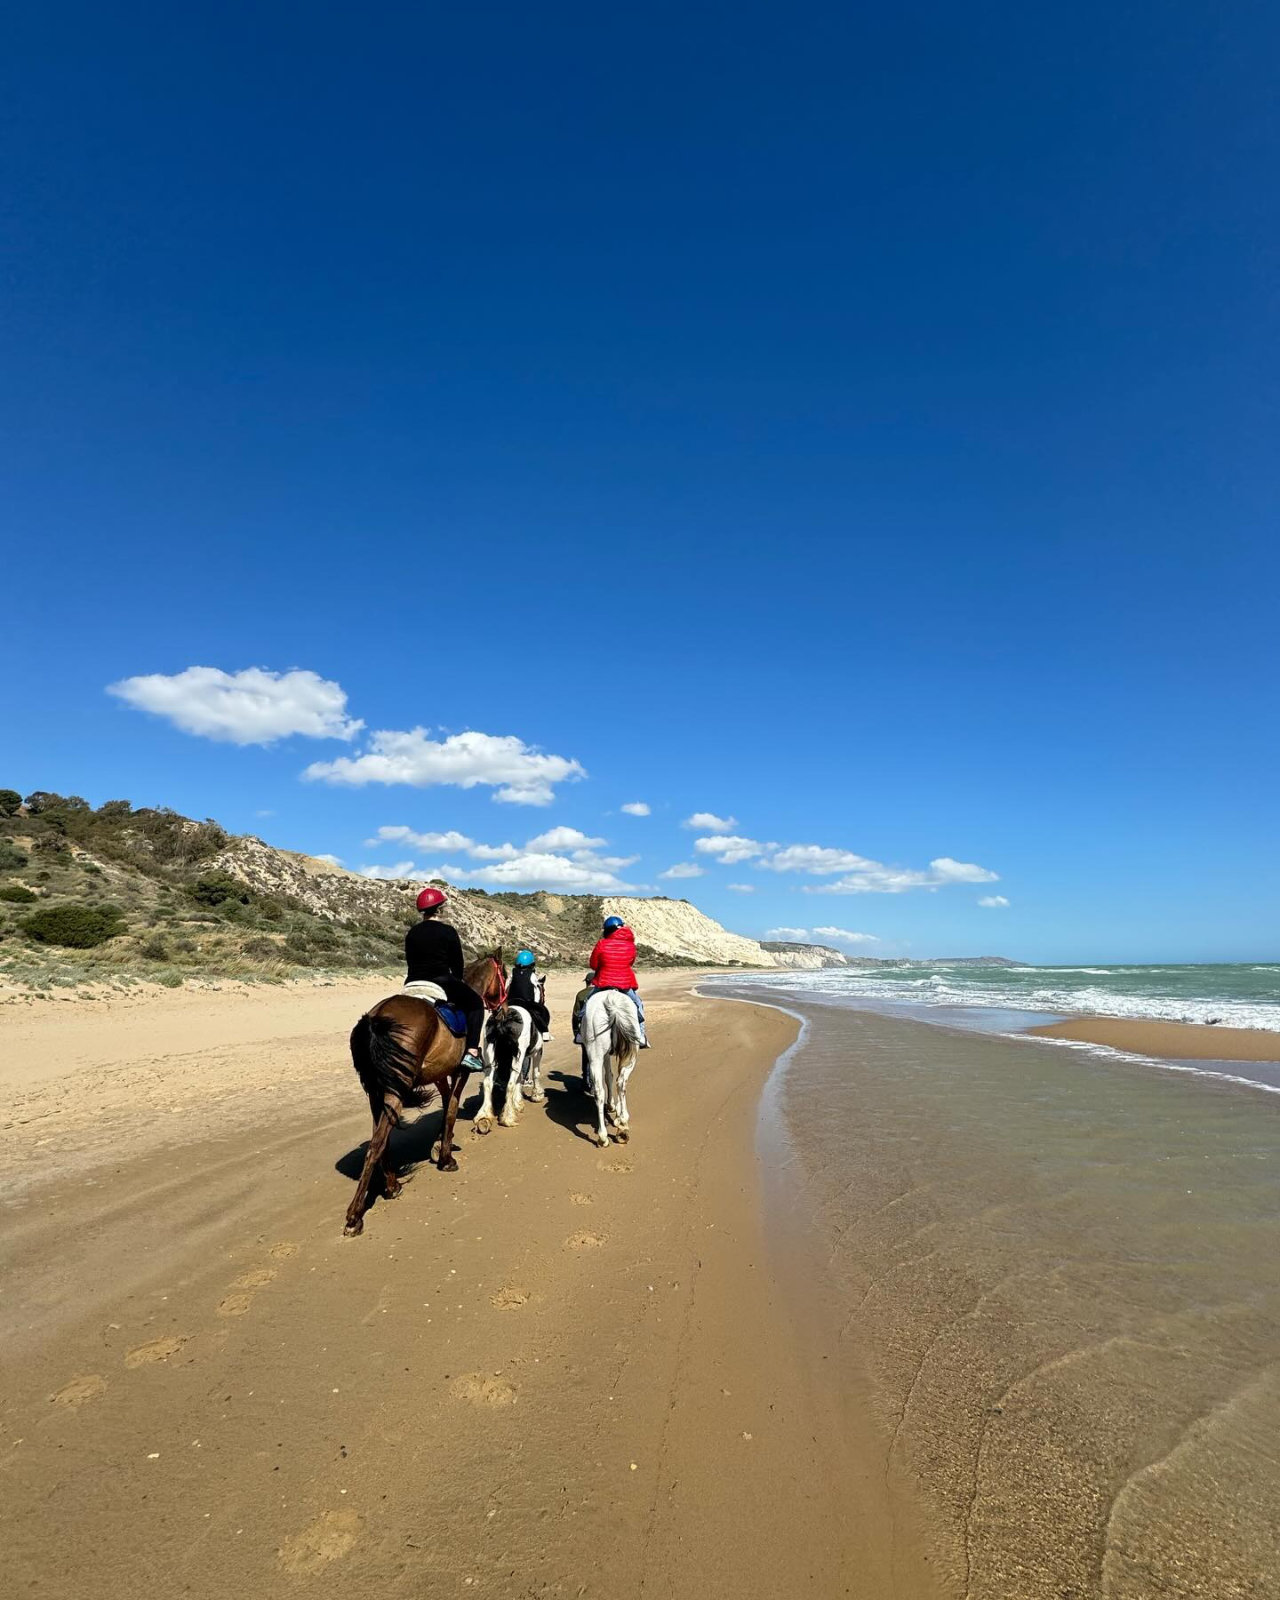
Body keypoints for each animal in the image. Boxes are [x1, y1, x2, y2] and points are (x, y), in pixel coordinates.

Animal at [343, 952, 507, 1237]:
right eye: (505, 975)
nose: (505, 1010)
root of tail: (375, 1017)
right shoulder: (460, 1071)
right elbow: (451, 1109)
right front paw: (446, 1159)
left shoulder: (440, 1074)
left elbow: (446, 1104)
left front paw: (441, 1144)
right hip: (395, 1090)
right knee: (376, 1144)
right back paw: (355, 1215)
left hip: (377, 1093)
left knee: (380, 1140)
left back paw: (391, 1186)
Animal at [475, 1004, 546, 1135]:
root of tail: (502, 1019)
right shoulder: (537, 1051)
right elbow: (535, 1073)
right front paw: (537, 1095)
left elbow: (520, 1077)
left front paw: (517, 1102)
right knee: (510, 1084)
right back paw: (508, 1118)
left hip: (489, 1054)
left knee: (488, 1083)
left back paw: (484, 1117)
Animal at [579, 989, 642, 1147]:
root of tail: (613, 1004)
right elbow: (611, 1076)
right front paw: (617, 1112)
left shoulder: (606, 1054)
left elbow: (608, 1076)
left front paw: (614, 1109)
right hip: (631, 1054)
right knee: (621, 1082)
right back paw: (621, 1125)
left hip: (596, 1055)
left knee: (600, 1091)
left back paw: (605, 1136)